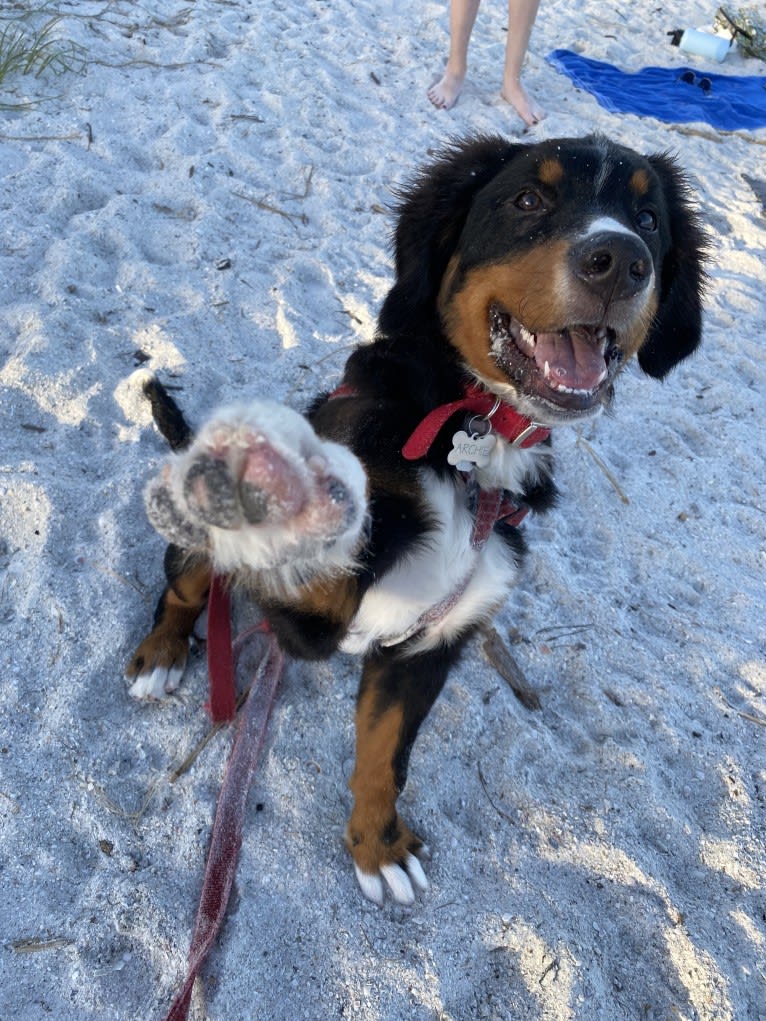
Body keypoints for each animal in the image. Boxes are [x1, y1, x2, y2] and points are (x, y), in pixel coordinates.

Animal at [126, 133, 706, 902]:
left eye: (647, 219)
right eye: (529, 199)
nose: (618, 259)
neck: (476, 447)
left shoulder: (430, 646)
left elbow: (385, 753)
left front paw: (377, 846)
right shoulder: (314, 581)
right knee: (185, 585)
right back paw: (162, 652)